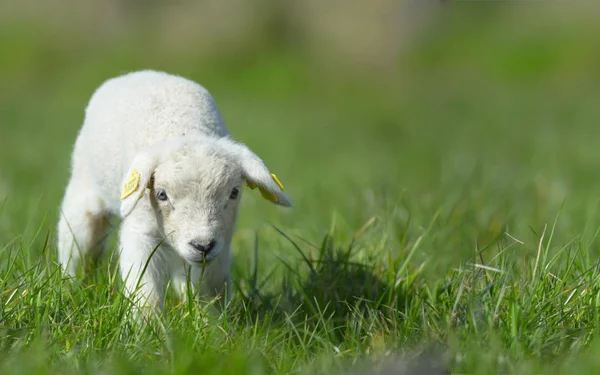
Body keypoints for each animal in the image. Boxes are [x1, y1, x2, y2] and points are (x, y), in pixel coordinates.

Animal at [57, 70, 292, 314]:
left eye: (234, 193)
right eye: (161, 194)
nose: (202, 246)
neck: (184, 129)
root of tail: (140, 73)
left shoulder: (222, 240)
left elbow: (211, 289)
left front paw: (212, 320)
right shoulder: (140, 230)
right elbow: (145, 293)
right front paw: (147, 323)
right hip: (83, 191)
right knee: (77, 246)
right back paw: (71, 289)